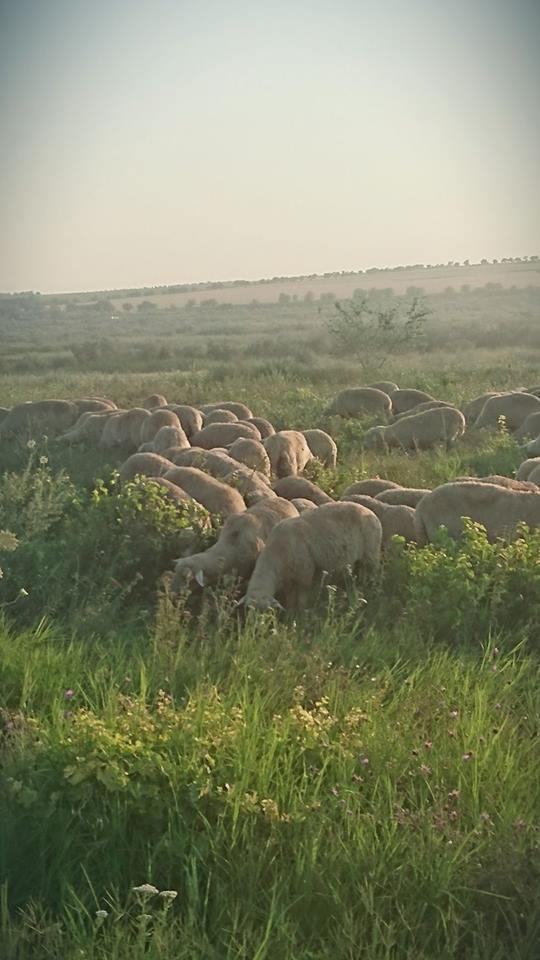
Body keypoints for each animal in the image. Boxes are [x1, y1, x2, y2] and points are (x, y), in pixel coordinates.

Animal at [243, 498, 382, 612]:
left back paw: (371, 589)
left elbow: (301, 599)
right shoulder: (289, 580)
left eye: (265, 612)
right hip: (361, 559)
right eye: (248, 611)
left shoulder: (304, 574)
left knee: (373, 572)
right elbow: (290, 598)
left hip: (372, 553)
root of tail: (371, 512)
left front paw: (299, 614)